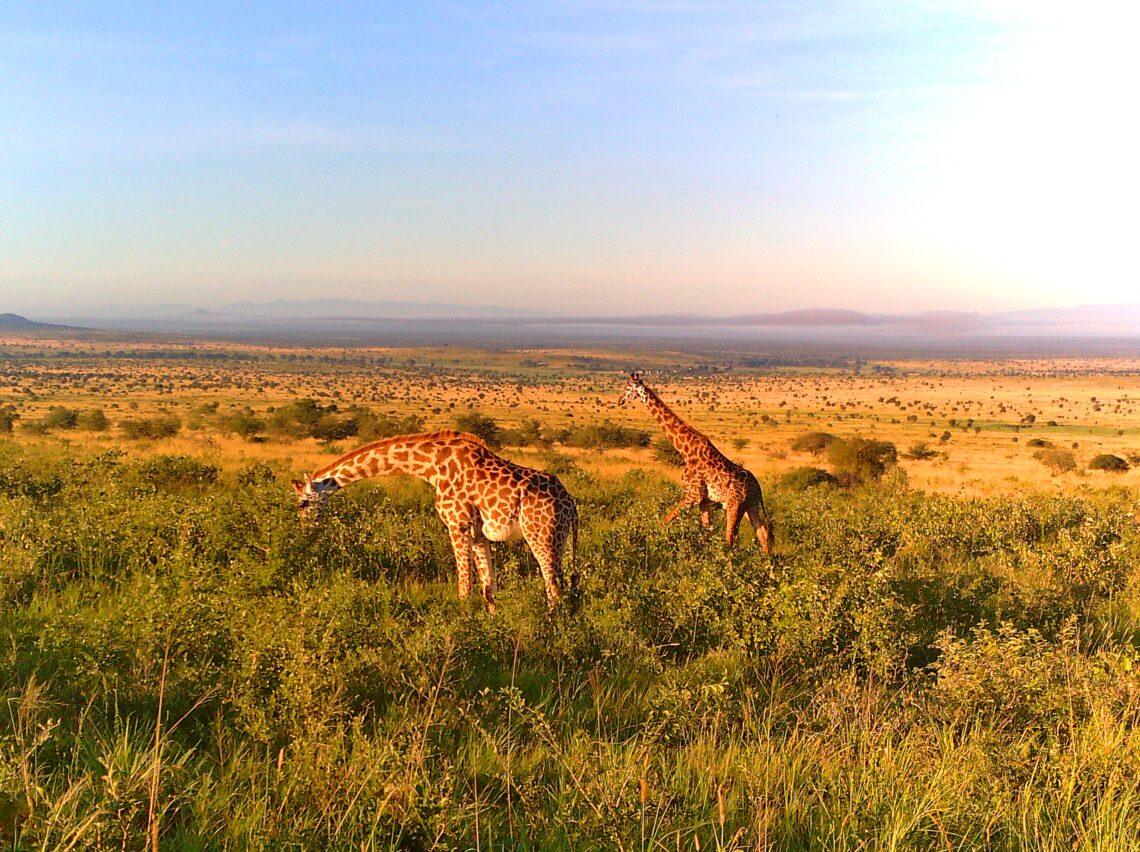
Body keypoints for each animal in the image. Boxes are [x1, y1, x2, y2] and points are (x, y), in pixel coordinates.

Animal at [291, 430, 578, 612]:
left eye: (303, 503)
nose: (306, 533)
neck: (430, 466)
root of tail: (571, 505)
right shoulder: (478, 533)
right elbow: (489, 588)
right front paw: (492, 628)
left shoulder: (457, 524)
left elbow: (464, 587)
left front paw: (465, 630)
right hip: (560, 539)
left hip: (540, 536)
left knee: (555, 588)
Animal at [620, 372, 773, 555]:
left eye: (628, 388)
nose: (620, 400)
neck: (685, 450)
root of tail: (757, 486)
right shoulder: (705, 502)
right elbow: (707, 532)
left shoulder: (693, 496)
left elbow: (666, 519)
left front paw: (653, 539)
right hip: (752, 505)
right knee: (762, 534)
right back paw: (768, 562)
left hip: (735, 505)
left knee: (731, 539)